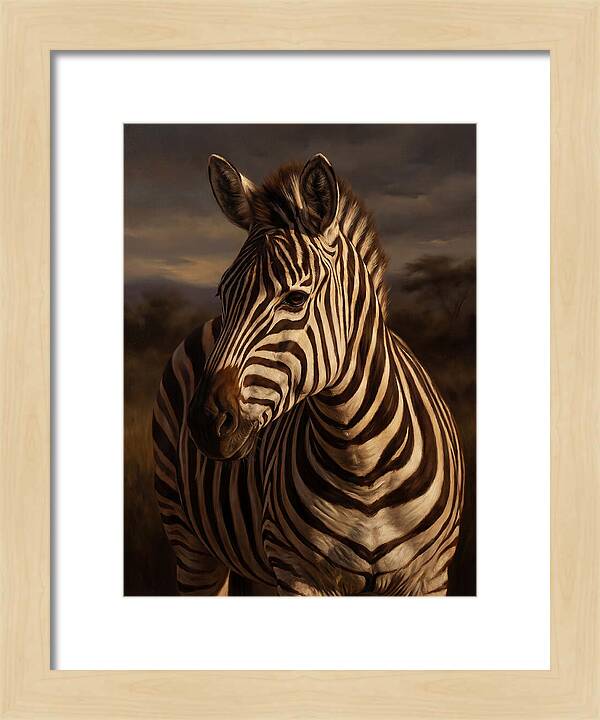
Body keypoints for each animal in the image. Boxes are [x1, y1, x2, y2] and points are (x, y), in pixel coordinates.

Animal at [152, 153, 464, 596]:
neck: (362, 464)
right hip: (189, 539)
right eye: (222, 293)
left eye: (296, 298)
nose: (206, 422)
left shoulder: (430, 576)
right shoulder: (300, 573)